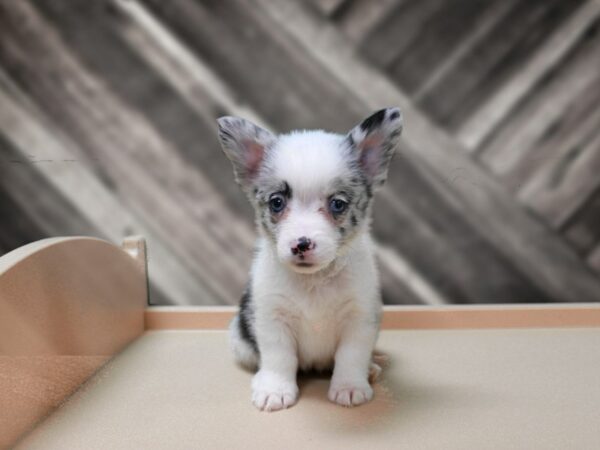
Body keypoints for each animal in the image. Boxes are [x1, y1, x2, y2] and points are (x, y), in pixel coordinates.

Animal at [217, 106, 404, 412]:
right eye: (276, 202)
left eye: (338, 204)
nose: (301, 244)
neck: (315, 280)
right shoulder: (273, 319)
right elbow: (279, 357)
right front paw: (275, 389)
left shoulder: (359, 319)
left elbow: (351, 356)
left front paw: (350, 387)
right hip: (239, 340)